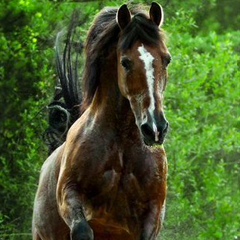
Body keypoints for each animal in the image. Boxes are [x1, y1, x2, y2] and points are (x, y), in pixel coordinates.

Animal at [32, 2, 171, 240]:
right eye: (125, 62)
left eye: (167, 59)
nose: (154, 129)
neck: (122, 146)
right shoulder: (70, 194)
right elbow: (82, 230)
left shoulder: (153, 211)